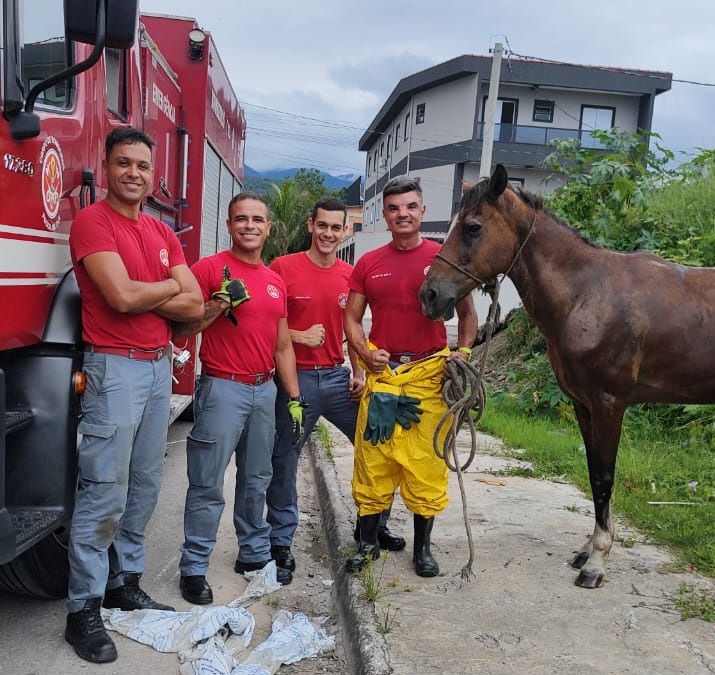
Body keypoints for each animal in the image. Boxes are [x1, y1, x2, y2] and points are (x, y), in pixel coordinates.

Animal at [416, 164, 715, 588]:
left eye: (473, 227)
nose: (429, 295)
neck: (589, 294)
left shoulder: (609, 404)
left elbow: (604, 477)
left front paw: (597, 561)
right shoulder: (583, 405)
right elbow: (593, 475)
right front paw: (588, 550)